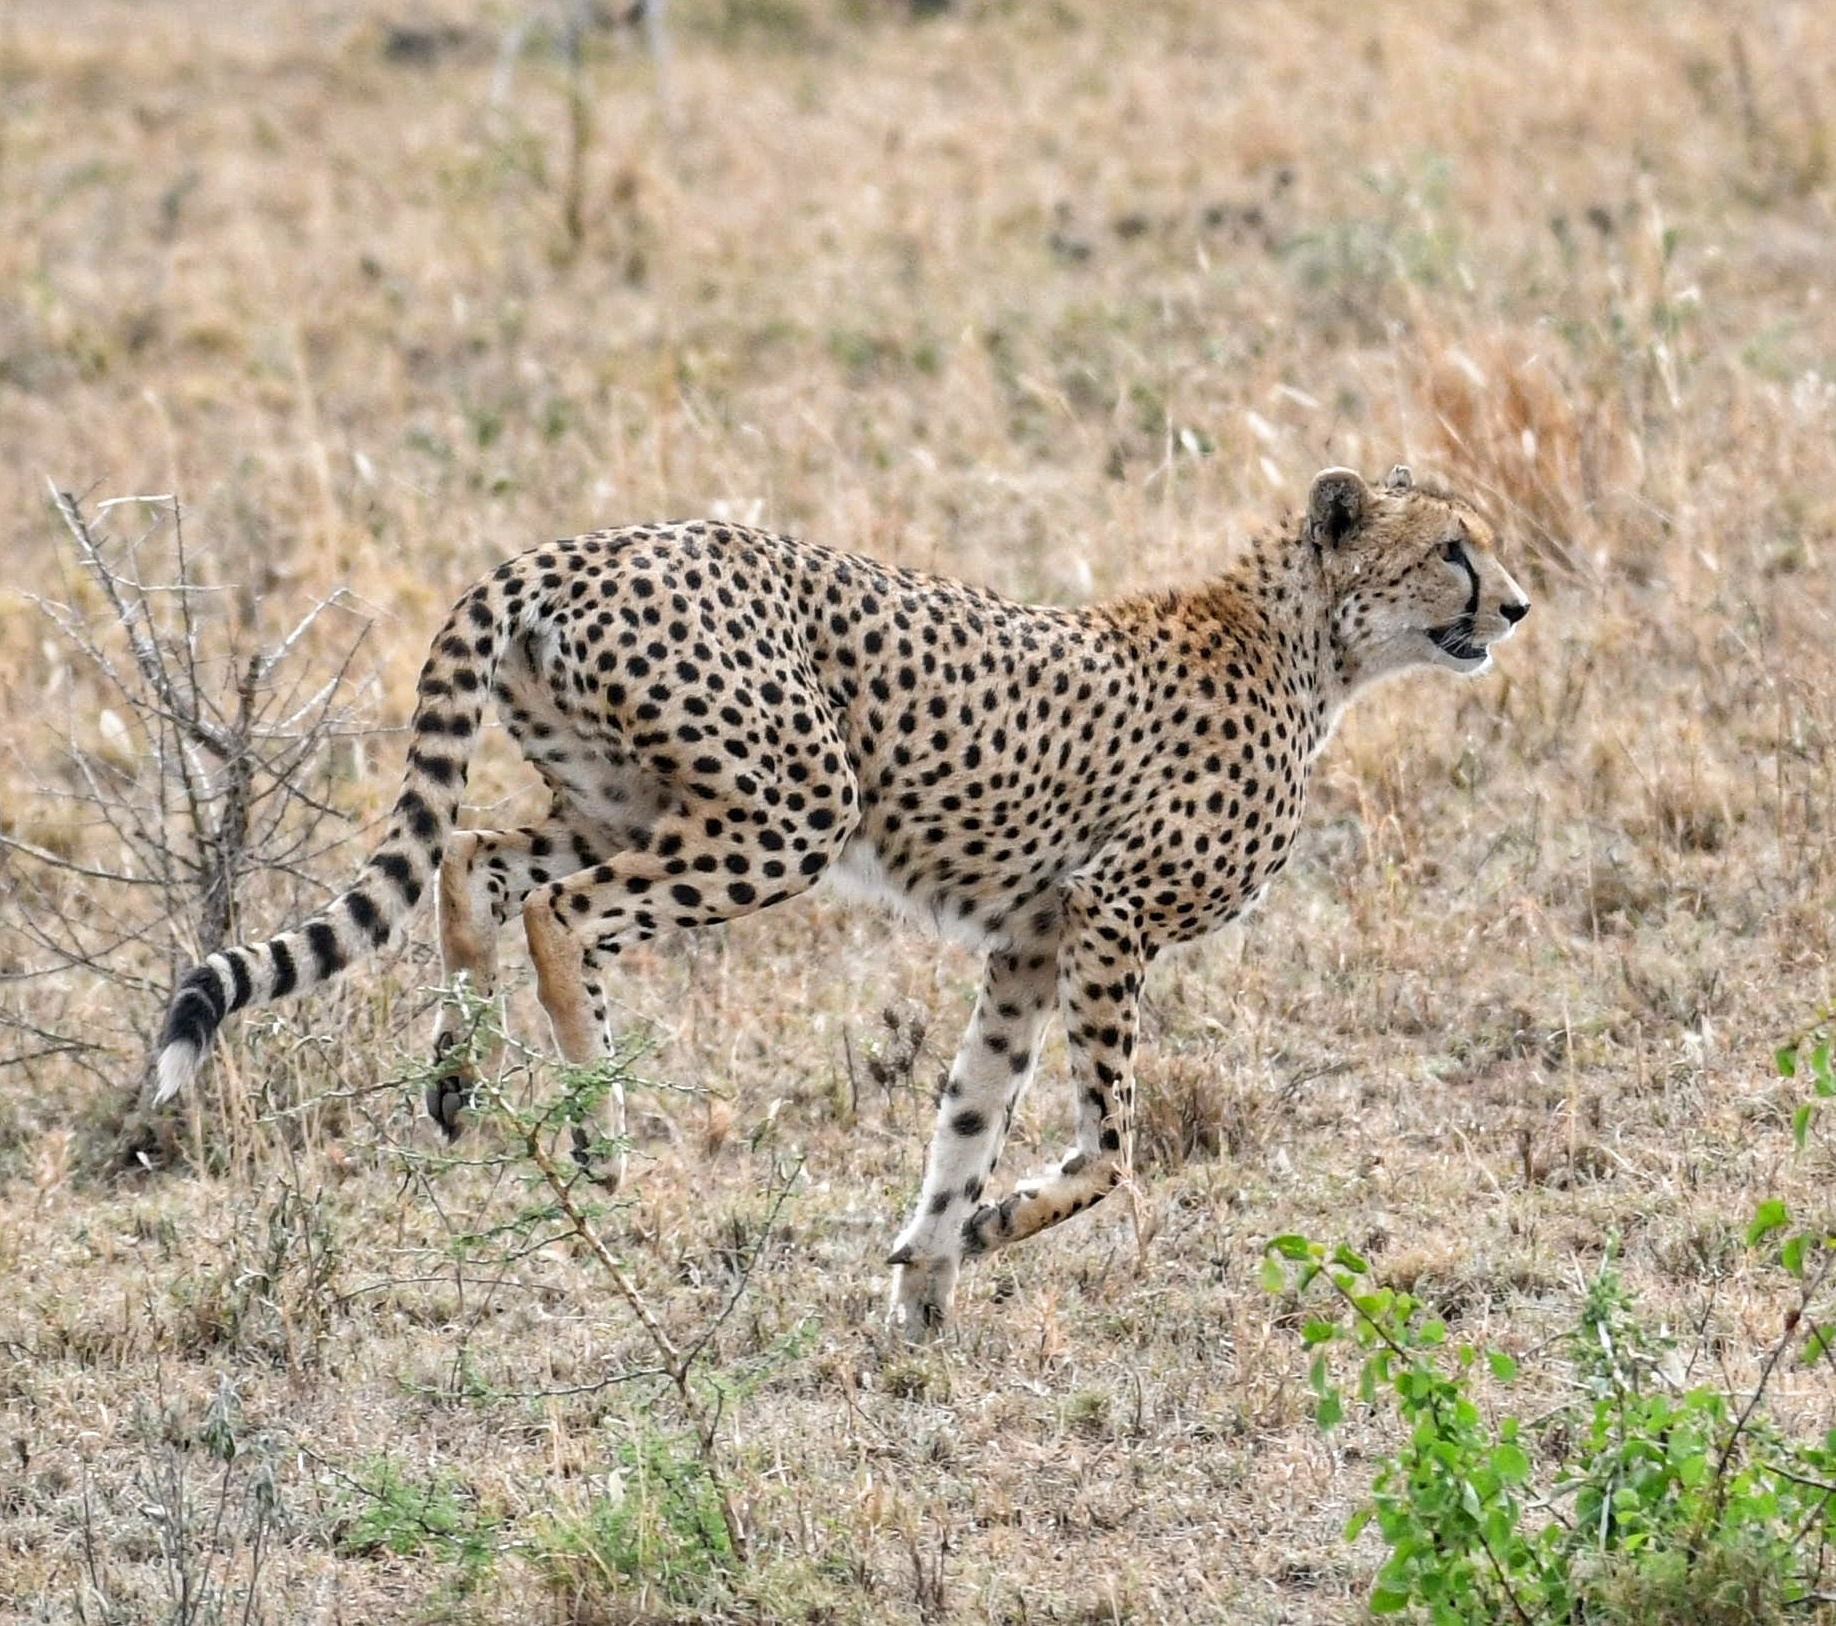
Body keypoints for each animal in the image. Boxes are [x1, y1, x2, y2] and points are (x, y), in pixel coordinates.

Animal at [157, 467, 1527, 1336]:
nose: (1515, 604)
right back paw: (598, 1129)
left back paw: (454, 1074)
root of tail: (576, 545)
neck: (1306, 646)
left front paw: (924, 1282)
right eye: (1450, 549)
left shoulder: (1031, 943)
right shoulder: (1109, 914)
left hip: (626, 796)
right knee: (562, 913)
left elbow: (968, 1115)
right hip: (791, 809)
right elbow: (1115, 1149)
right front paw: (982, 1239)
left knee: (476, 857)